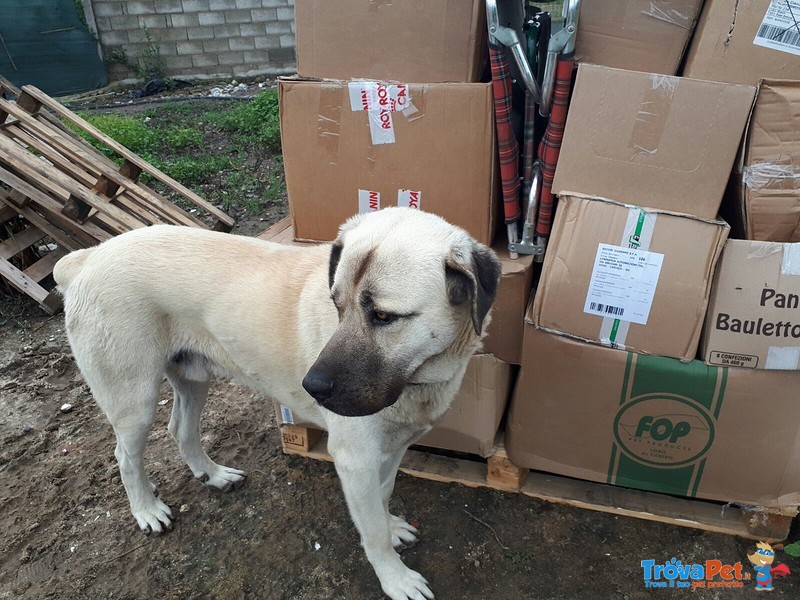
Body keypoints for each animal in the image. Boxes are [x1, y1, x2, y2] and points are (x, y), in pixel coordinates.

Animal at [53, 207, 500, 600]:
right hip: (135, 399)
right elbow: (370, 529)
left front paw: (391, 527)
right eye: (337, 305)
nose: (312, 386)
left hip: (193, 378)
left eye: (385, 317)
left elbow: (384, 495)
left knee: (180, 429)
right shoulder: (355, 459)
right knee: (125, 456)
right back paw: (147, 510)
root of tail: (90, 256)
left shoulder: (391, 448)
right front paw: (395, 578)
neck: (416, 377)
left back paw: (213, 475)